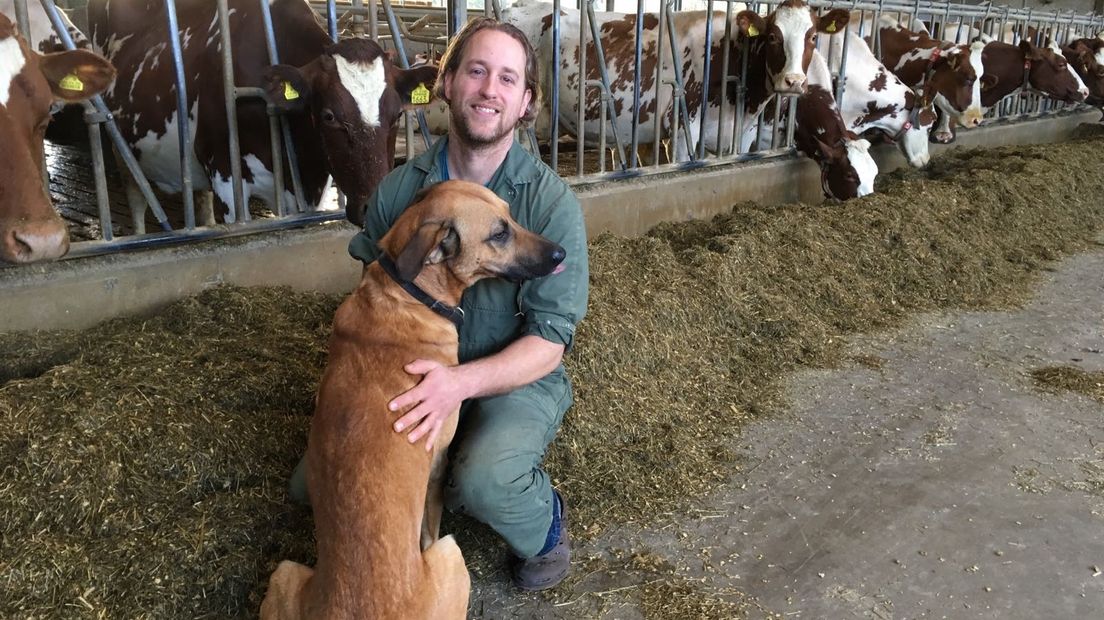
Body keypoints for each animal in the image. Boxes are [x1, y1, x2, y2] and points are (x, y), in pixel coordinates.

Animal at [87, 0, 439, 231]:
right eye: (328, 116)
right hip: (121, 145)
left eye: (397, 115)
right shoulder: (228, 180)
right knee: (136, 199)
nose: (376, 207)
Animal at [261, 178, 565, 617]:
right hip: (450, 554)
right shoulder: (437, 462)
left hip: (283, 572)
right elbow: (429, 522)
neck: (407, 293)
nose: (562, 252)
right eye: (499, 233)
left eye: (510, 214)